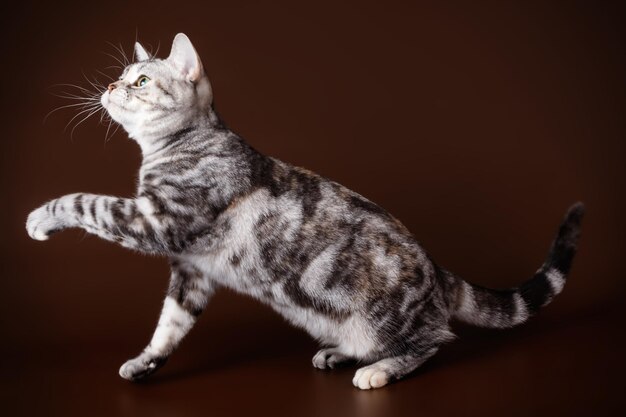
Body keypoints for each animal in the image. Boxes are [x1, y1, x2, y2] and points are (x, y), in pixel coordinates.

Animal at [24, 33, 580, 390]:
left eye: (139, 81)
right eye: (120, 77)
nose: (110, 87)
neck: (174, 146)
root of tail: (439, 271)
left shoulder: (155, 221)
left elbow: (84, 201)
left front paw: (39, 217)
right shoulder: (192, 270)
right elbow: (170, 325)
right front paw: (145, 363)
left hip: (386, 318)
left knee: (432, 340)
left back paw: (378, 369)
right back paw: (338, 353)